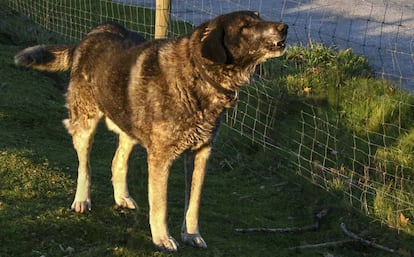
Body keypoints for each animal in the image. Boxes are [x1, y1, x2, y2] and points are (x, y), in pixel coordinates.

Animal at [15, 11, 288, 251]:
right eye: (245, 26)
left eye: (259, 17)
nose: (284, 27)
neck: (198, 75)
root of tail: (89, 36)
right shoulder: (160, 158)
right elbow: (160, 204)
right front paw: (162, 239)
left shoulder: (200, 154)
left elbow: (194, 202)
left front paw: (191, 235)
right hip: (85, 124)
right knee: (85, 166)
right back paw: (82, 199)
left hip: (128, 128)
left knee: (117, 161)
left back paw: (122, 197)